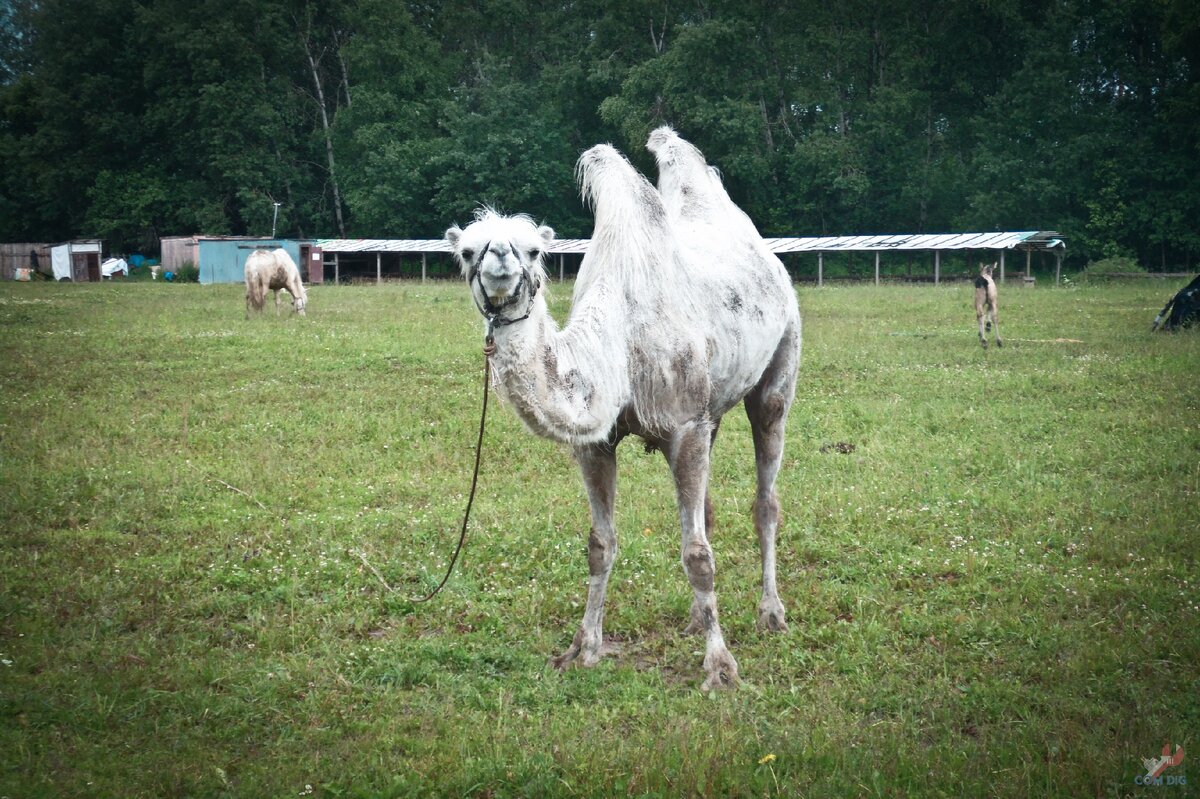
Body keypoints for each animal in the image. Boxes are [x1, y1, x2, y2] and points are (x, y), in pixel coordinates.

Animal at [446, 127, 801, 686]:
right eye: (466, 252)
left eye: (533, 250)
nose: (499, 258)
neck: (620, 345)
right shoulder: (596, 444)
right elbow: (600, 544)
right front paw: (583, 646)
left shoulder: (685, 425)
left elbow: (697, 554)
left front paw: (720, 667)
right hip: (714, 408)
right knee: (708, 509)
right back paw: (695, 618)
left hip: (779, 369)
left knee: (765, 497)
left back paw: (771, 614)